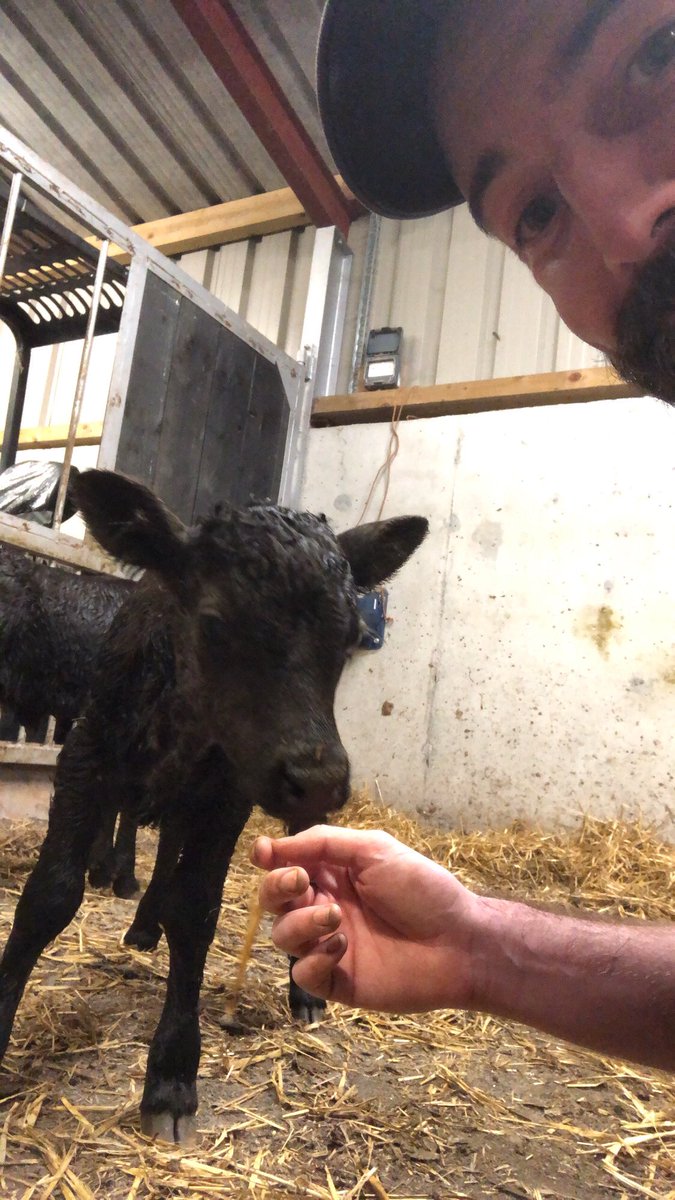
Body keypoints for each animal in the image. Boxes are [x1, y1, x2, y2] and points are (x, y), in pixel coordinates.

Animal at [0, 469, 427, 1143]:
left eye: (350, 638)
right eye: (216, 623)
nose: (318, 778)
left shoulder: (227, 796)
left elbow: (197, 912)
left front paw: (172, 1077)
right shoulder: (85, 760)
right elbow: (48, 897)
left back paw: (304, 989)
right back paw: (143, 923)